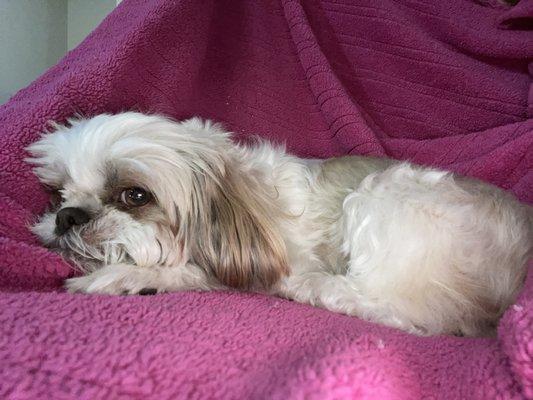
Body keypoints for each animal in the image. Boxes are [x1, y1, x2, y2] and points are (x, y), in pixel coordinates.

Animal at [27, 111, 528, 336]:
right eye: (58, 194)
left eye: (134, 195)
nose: (67, 216)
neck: (242, 190)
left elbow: (190, 269)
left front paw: (126, 276)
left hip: (384, 194)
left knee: (405, 313)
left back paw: (314, 289)